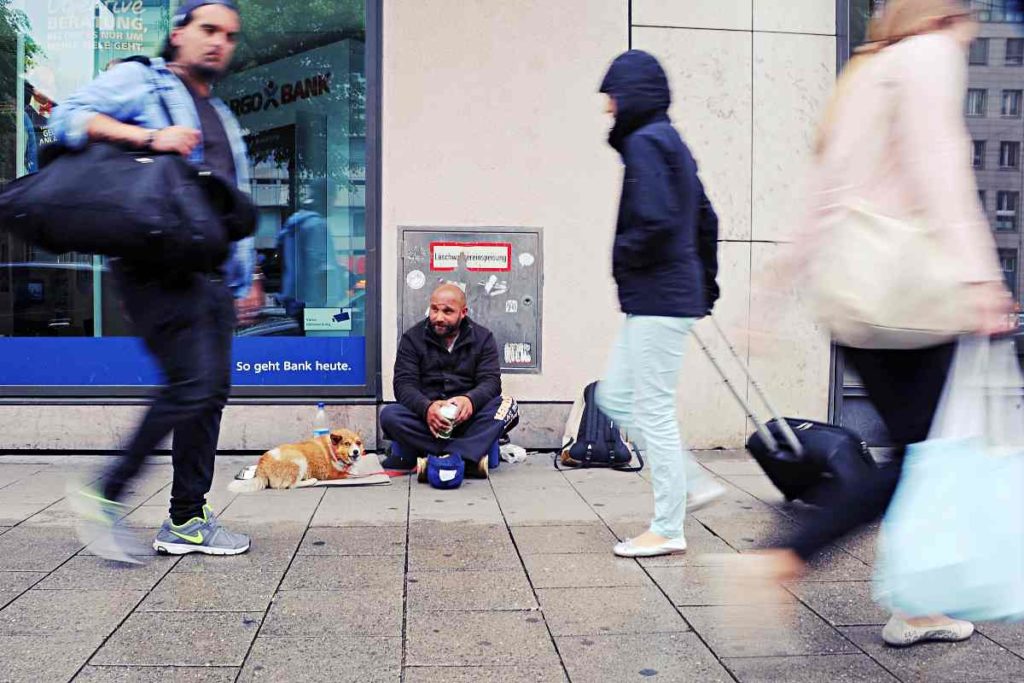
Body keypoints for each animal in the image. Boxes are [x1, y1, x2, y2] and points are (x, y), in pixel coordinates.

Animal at [230, 428, 366, 491]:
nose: (356, 452)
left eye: (358, 443)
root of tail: (261, 466)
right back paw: (312, 480)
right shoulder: (332, 474)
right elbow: (351, 472)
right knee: (292, 485)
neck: (333, 451)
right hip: (300, 460)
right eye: (347, 444)